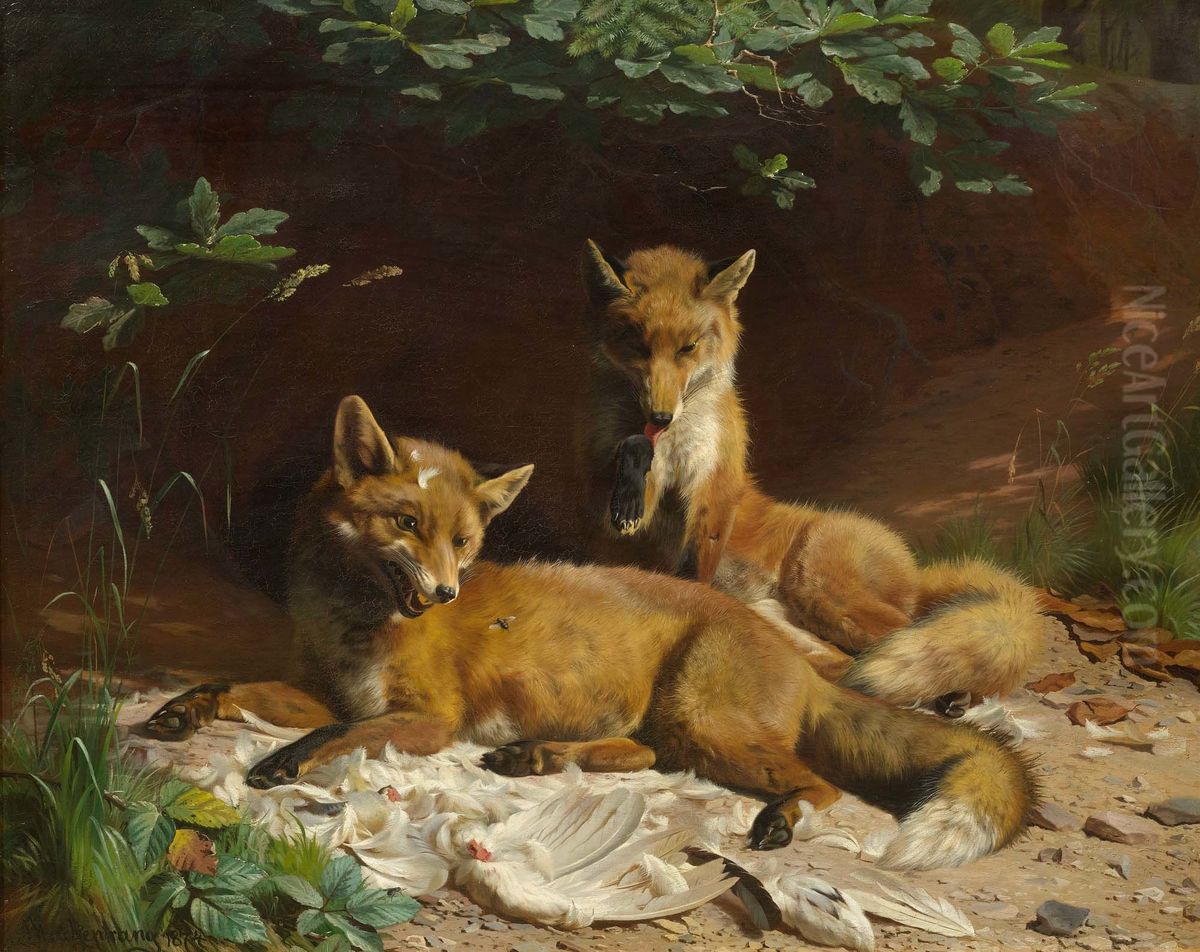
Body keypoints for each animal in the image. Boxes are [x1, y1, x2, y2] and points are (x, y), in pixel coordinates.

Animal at [143, 395, 1037, 871]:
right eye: (406, 524)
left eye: (464, 541)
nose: (444, 592)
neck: (352, 619)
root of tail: (795, 655)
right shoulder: (322, 687)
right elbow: (239, 688)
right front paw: (182, 710)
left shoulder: (426, 719)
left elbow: (335, 736)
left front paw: (282, 762)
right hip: (677, 725)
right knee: (646, 756)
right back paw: (538, 757)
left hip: (707, 719)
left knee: (821, 785)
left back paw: (781, 819)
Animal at [579, 241, 1045, 711]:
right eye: (640, 348)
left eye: (688, 348)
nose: (660, 415)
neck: (674, 442)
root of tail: (916, 569)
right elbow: (629, 468)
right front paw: (630, 491)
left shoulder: (715, 484)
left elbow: (695, 562)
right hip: (785, 622)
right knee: (846, 662)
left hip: (823, 591)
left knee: (912, 632)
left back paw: (956, 692)